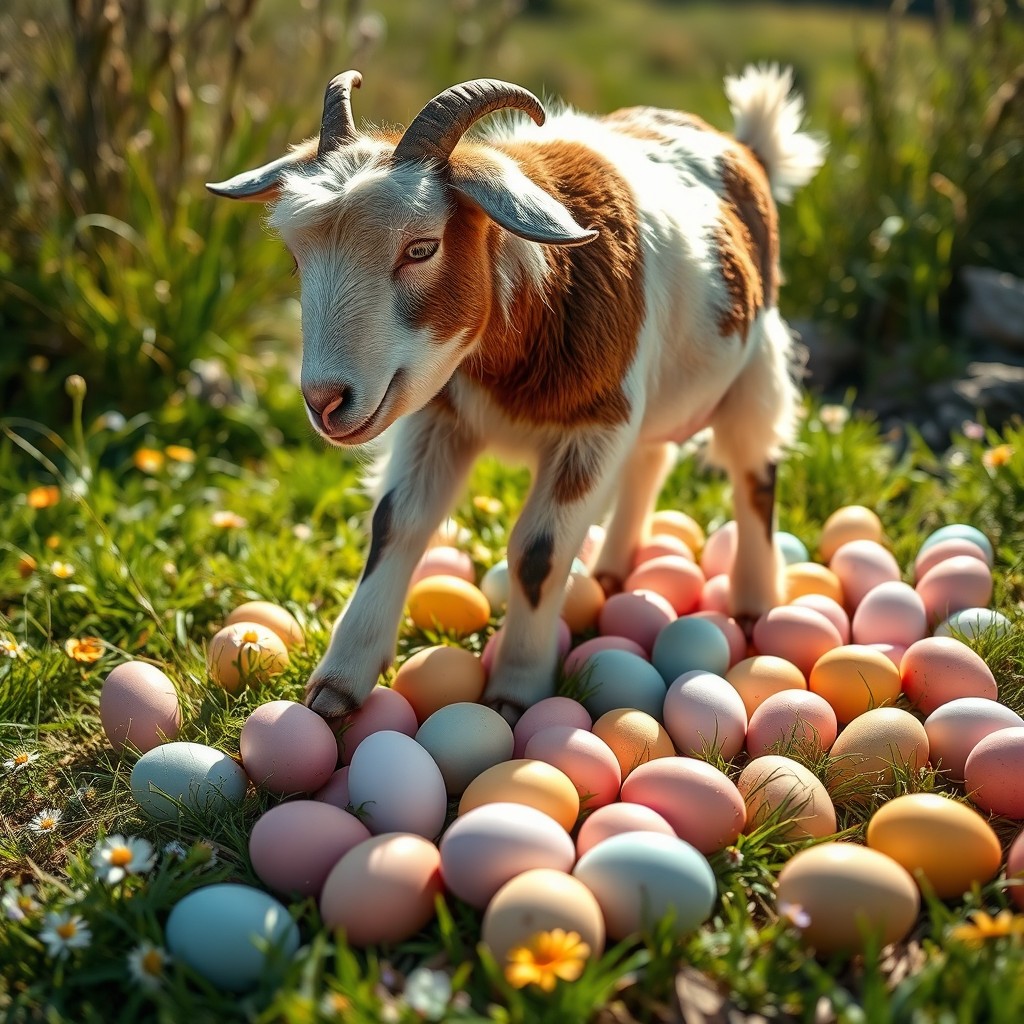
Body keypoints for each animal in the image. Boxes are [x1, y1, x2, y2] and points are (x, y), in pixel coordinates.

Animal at [208, 66, 826, 724]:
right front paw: (337, 686)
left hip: (755, 369)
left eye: (421, 248)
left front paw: (514, 692)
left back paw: (754, 602)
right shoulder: (440, 417)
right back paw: (612, 571)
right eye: (297, 258)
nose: (326, 400)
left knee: (754, 471)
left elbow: (538, 553)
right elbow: (396, 524)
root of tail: (745, 147)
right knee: (652, 458)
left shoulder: (594, 426)